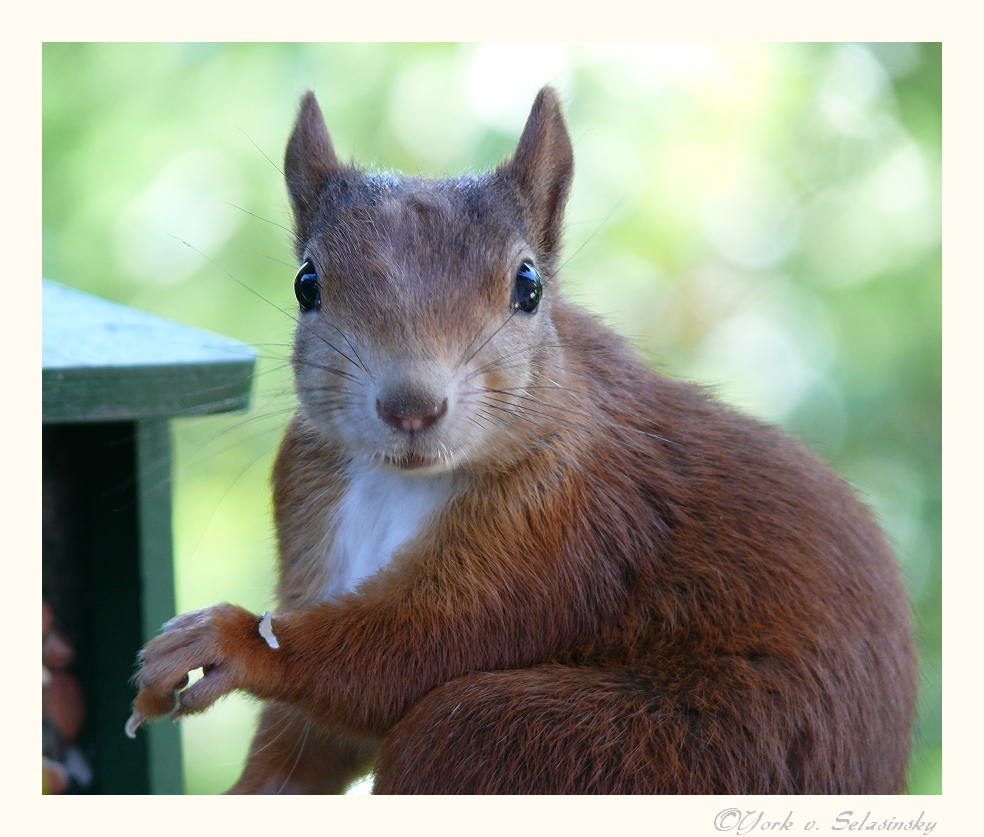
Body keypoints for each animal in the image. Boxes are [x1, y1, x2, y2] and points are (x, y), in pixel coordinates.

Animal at [127, 88, 920, 792]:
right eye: (306, 284)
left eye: (529, 286)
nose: (411, 406)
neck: (400, 482)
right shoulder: (309, 508)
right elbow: (307, 750)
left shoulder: (569, 527)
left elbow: (420, 648)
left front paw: (233, 641)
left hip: (601, 747)